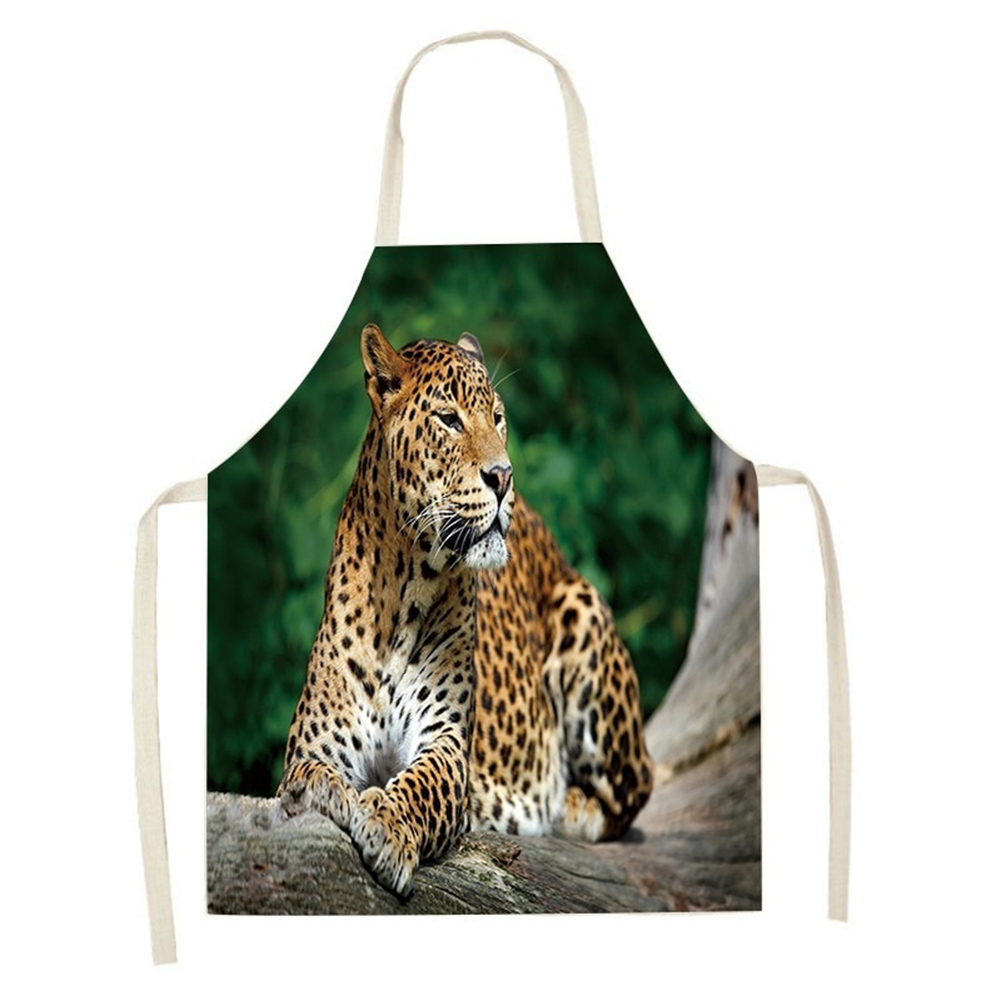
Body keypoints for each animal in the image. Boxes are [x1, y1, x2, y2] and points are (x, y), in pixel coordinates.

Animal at [277, 323, 654, 897]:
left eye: (497, 417)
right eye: (449, 419)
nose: (503, 476)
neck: (403, 587)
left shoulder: (448, 744)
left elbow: (420, 785)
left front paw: (385, 825)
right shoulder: (314, 745)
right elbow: (306, 778)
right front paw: (330, 794)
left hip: (583, 611)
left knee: (635, 791)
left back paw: (567, 805)